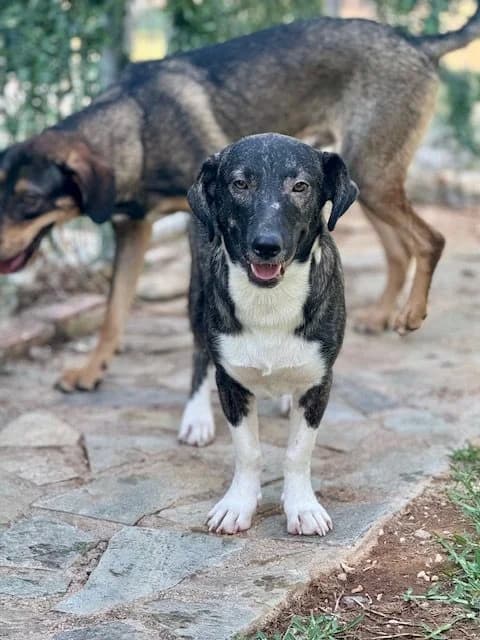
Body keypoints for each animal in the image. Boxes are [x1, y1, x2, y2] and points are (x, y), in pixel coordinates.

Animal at [0, 9, 478, 392]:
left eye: (29, 200)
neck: (136, 125)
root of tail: (414, 41)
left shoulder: (199, 226)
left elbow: (191, 308)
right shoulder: (132, 230)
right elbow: (113, 312)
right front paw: (91, 369)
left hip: (373, 176)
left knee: (429, 240)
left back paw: (411, 314)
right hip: (360, 181)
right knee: (399, 248)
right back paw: (380, 314)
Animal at [182, 133, 357, 534]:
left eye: (300, 186)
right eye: (239, 184)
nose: (266, 245)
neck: (269, 301)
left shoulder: (319, 382)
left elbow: (298, 451)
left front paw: (302, 506)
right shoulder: (230, 382)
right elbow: (248, 451)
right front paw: (238, 504)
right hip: (197, 297)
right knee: (199, 354)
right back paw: (196, 417)